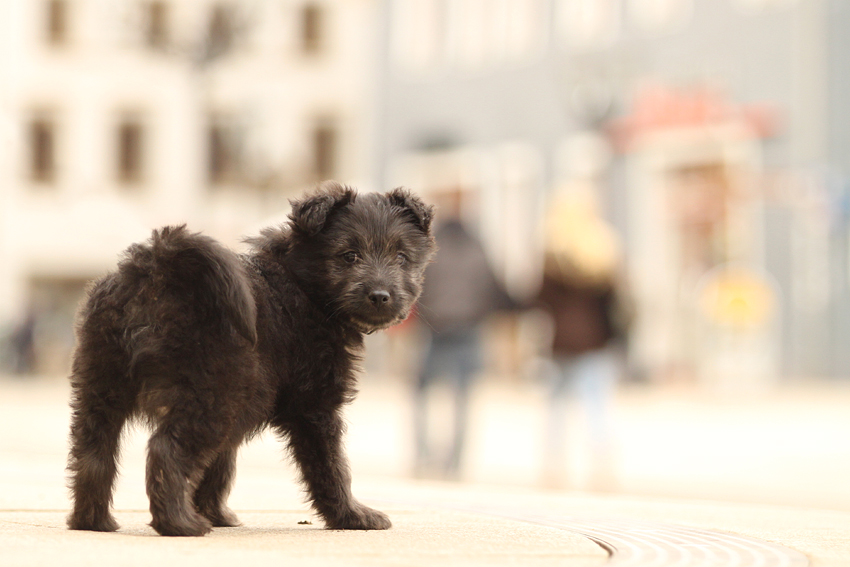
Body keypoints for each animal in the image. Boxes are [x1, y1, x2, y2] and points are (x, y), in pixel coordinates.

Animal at [66, 183, 434, 536]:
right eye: (349, 256)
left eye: (402, 257)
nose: (380, 296)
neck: (304, 286)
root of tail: (158, 266)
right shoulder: (313, 406)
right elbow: (330, 467)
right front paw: (351, 516)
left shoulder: (245, 403)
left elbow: (220, 465)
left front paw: (214, 512)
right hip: (208, 398)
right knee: (165, 450)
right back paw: (180, 524)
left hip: (100, 388)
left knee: (93, 455)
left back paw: (92, 520)